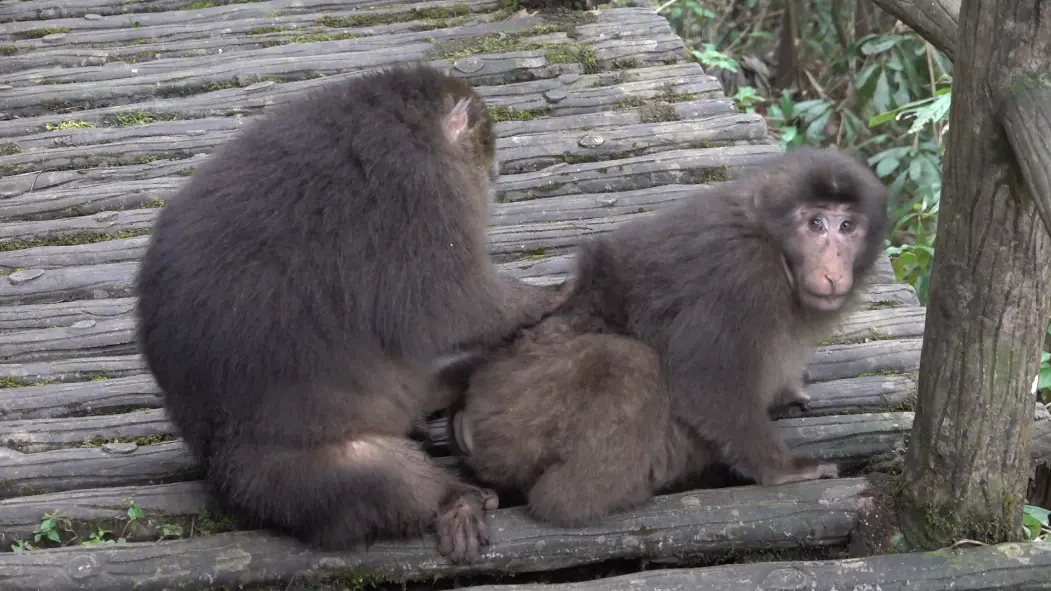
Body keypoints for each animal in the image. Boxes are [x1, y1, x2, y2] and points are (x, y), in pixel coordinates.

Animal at [139, 63, 571, 559]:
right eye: (485, 142)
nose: (497, 170)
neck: (413, 127)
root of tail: (216, 465)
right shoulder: (424, 192)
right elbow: (452, 300)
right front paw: (546, 298)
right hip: (275, 476)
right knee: (373, 473)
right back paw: (454, 500)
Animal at [443, 146, 887, 523]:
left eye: (848, 226)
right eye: (815, 224)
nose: (833, 267)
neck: (773, 244)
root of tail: (470, 410)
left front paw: (790, 388)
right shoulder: (743, 274)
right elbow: (704, 382)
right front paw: (783, 469)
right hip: (514, 413)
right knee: (631, 363)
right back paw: (578, 502)